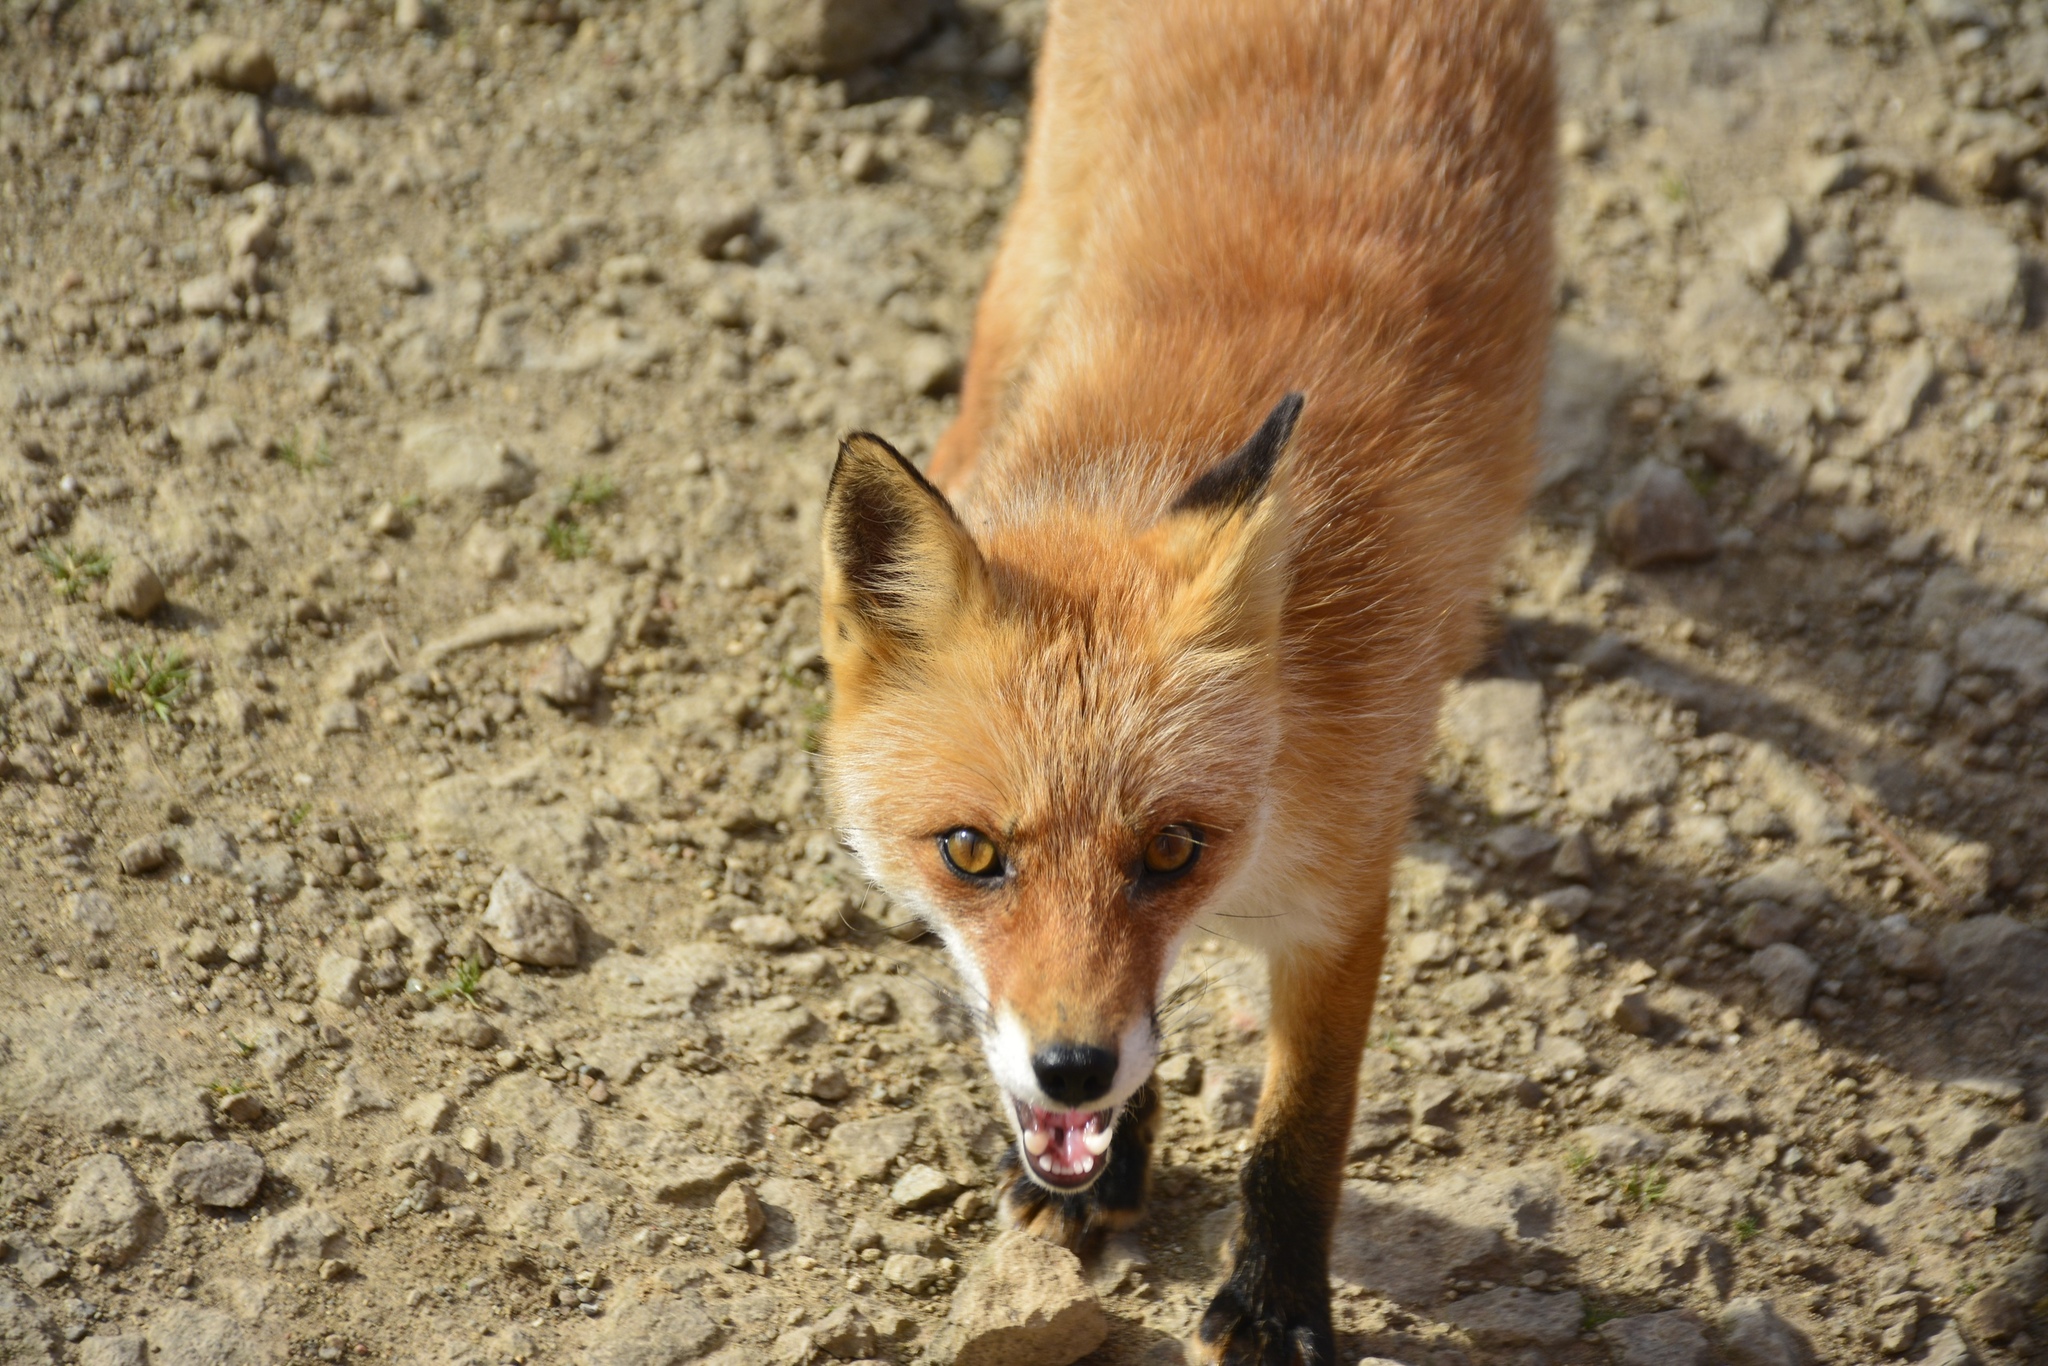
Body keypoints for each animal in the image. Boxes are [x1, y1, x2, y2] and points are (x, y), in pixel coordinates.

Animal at [815, 5, 1548, 1359]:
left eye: (1169, 850)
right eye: (968, 852)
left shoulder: (1340, 892)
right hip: (1034, 240)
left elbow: (1301, 1126)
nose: (1068, 1072)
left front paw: (1272, 1302)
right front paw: (1107, 1167)